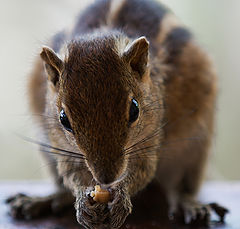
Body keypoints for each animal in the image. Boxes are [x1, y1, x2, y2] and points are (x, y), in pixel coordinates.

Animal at [7, 0, 229, 228]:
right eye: (63, 119)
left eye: (135, 109)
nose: (106, 179)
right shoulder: (60, 144)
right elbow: (71, 172)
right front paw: (82, 198)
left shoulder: (150, 137)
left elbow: (143, 169)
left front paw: (122, 196)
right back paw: (43, 200)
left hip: (195, 149)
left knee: (179, 187)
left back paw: (189, 204)